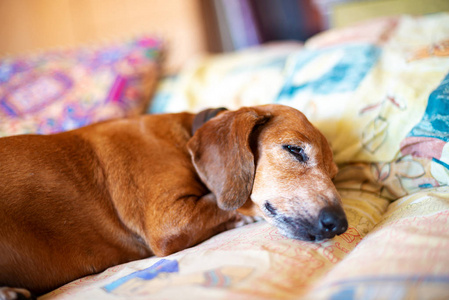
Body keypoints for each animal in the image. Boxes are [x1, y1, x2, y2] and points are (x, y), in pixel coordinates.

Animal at [0, 103, 346, 298]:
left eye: (333, 174)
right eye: (294, 150)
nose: (340, 224)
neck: (184, 141)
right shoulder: (169, 220)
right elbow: (227, 206)